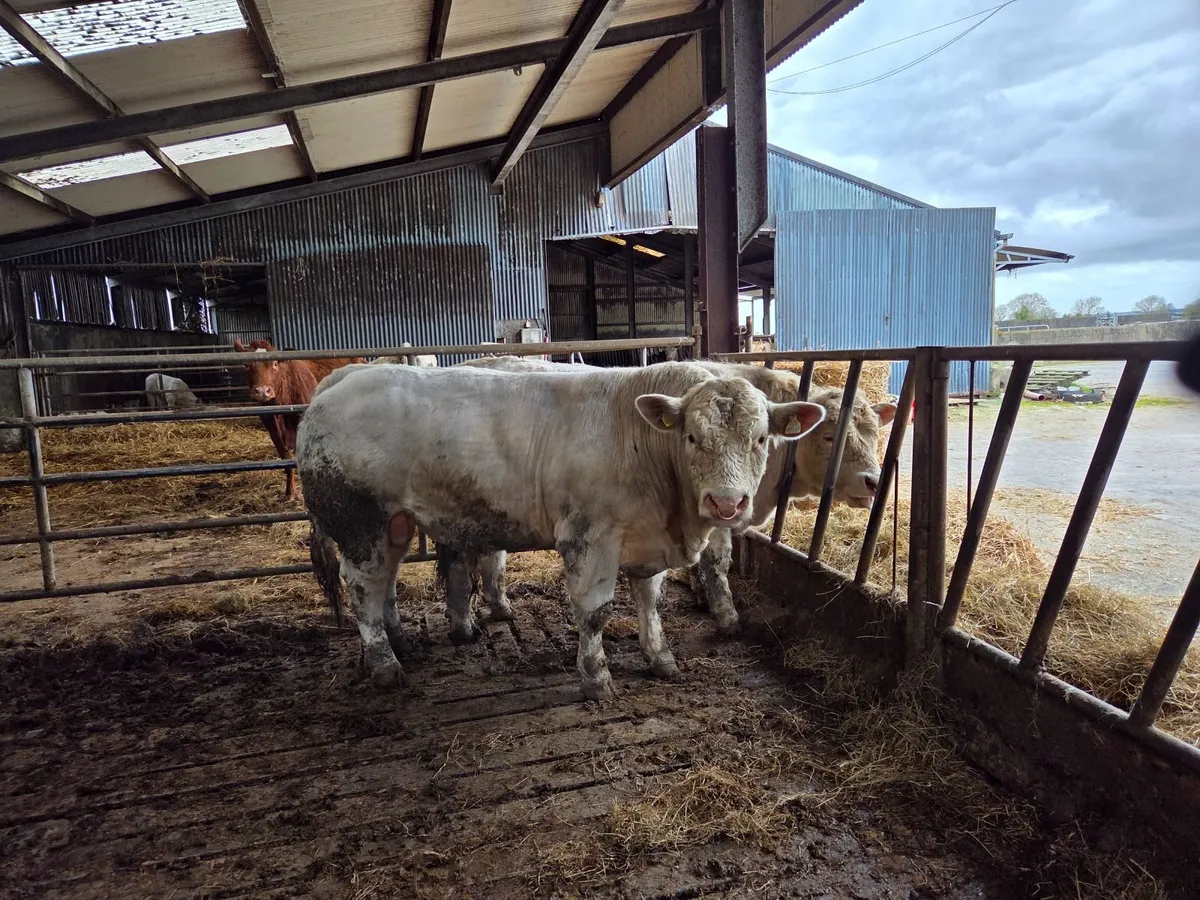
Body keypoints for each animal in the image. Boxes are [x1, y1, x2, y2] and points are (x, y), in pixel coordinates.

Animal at [233, 339, 365, 501]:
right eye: (246, 365)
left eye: (275, 363)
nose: (263, 391)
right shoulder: (272, 429)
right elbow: (286, 459)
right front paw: (290, 492)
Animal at [296, 361, 826, 699]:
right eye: (692, 437)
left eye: (761, 437)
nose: (727, 503)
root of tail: (340, 380)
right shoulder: (589, 537)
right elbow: (595, 613)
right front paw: (596, 680)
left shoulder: (647, 539)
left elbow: (650, 603)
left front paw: (660, 659)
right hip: (360, 521)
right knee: (363, 586)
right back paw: (385, 665)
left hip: (395, 524)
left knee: (384, 583)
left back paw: (400, 643)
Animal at [449, 356, 896, 635]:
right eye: (829, 436)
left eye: (876, 432)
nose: (873, 481)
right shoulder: (719, 506)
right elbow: (718, 561)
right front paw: (725, 614)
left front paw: (699, 593)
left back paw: (499, 607)